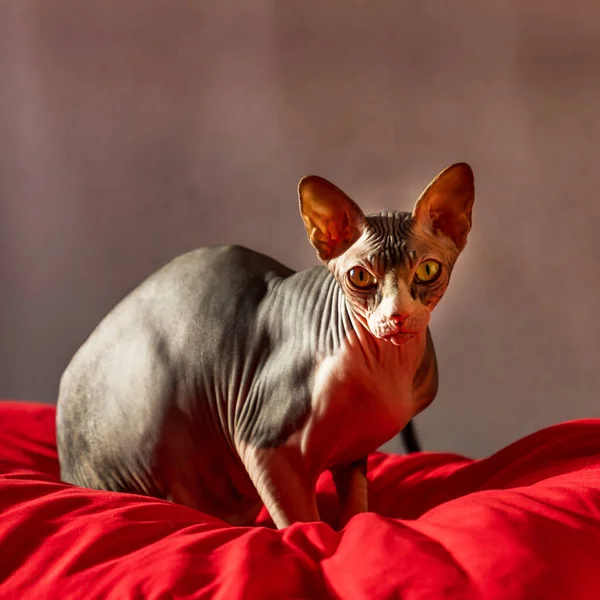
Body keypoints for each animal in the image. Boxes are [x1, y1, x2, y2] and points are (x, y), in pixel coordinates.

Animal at [58, 162, 476, 528]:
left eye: (427, 270)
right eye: (360, 276)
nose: (397, 316)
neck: (387, 369)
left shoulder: (356, 453)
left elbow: (356, 507)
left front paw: (357, 526)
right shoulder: (263, 444)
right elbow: (300, 520)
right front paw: (315, 540)